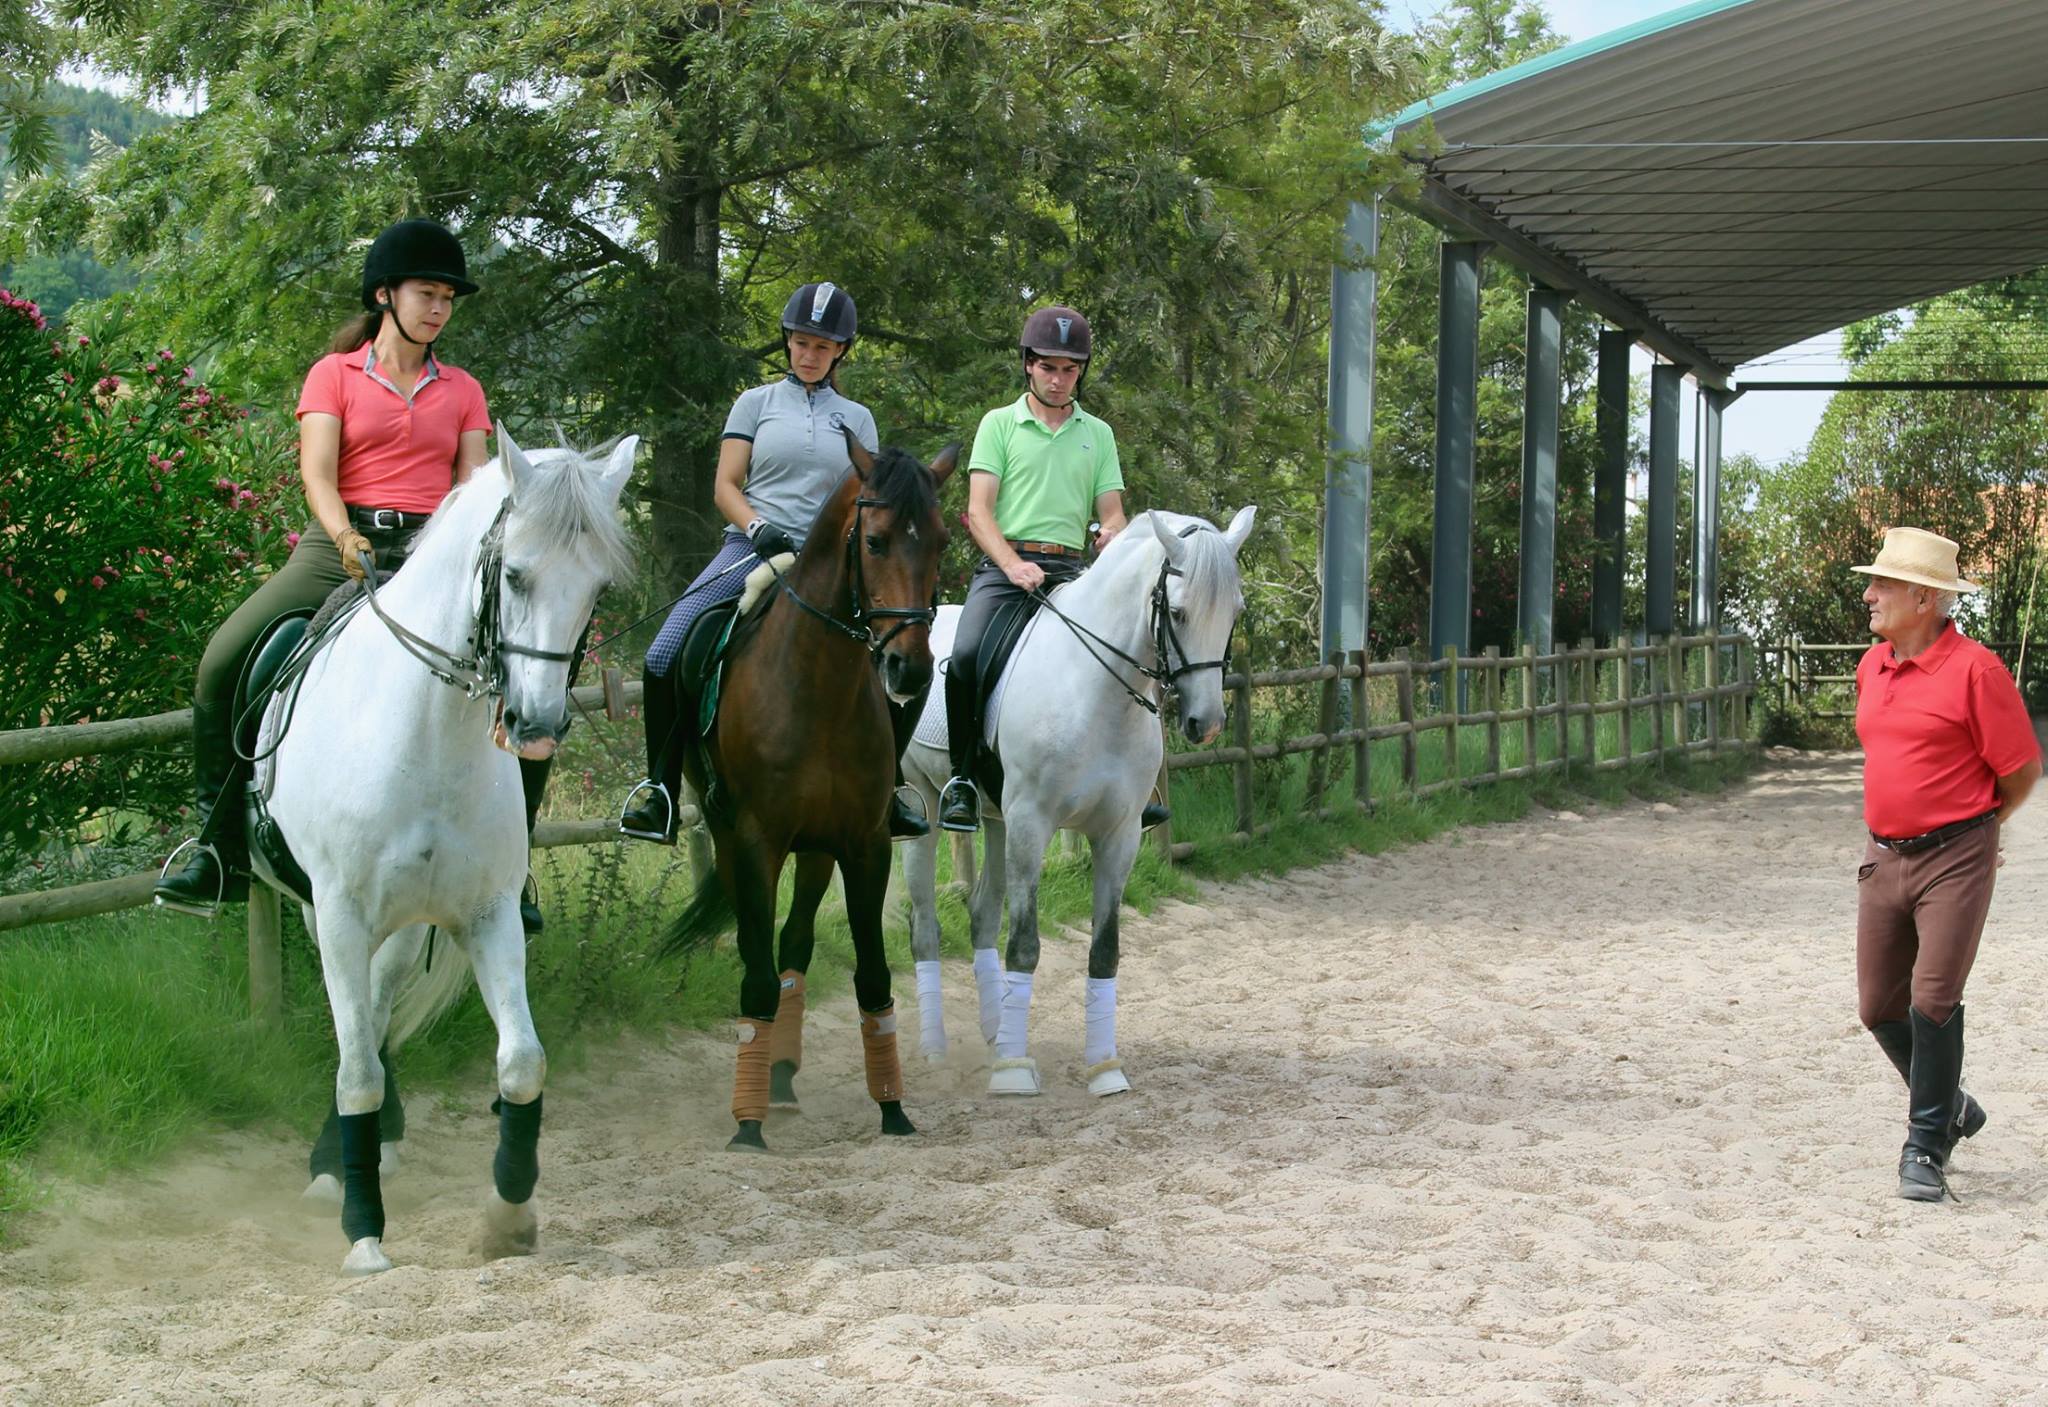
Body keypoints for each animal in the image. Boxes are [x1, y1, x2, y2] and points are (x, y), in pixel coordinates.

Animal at [260, 430, 634, 1277]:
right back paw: (340, 1165)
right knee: (361, 1030)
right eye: (516, 573)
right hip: (323, 911)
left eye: (596, 587)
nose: (536, 724)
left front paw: (509, 1216)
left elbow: (522, 1063)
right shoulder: (340, 913)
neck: (423, 734)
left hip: (405, 926)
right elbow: (357, 1071)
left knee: (379, 1002)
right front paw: (364, 1230)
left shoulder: (489, 914)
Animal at [671, 434, 958, 1146]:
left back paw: (780, 1075)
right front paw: (746, 1128)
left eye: (941, 541)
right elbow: (754, 973)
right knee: (765, 954)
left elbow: (874, 975)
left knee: (795, 945)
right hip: (734, 840)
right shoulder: (755, 842)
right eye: (875, 541)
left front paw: (893, 1108)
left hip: (818, 848)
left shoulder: (865, 842)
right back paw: (763, 1088)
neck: (817, 686)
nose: (909, 669)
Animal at [905, 505, 1253, 1097]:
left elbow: (1105, 950)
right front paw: (1015, 1072)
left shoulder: (1118, 835)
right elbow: (1025, 943)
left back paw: (996, 1031)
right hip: (925, 807)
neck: (1096, 691)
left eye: (1235, 611)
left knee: (981, 914)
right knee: (926, 924)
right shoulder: (1032, 824)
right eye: (1177, 612)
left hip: (996, 819)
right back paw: (935, 1050)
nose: (1205, 724)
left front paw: (1103, 1067)